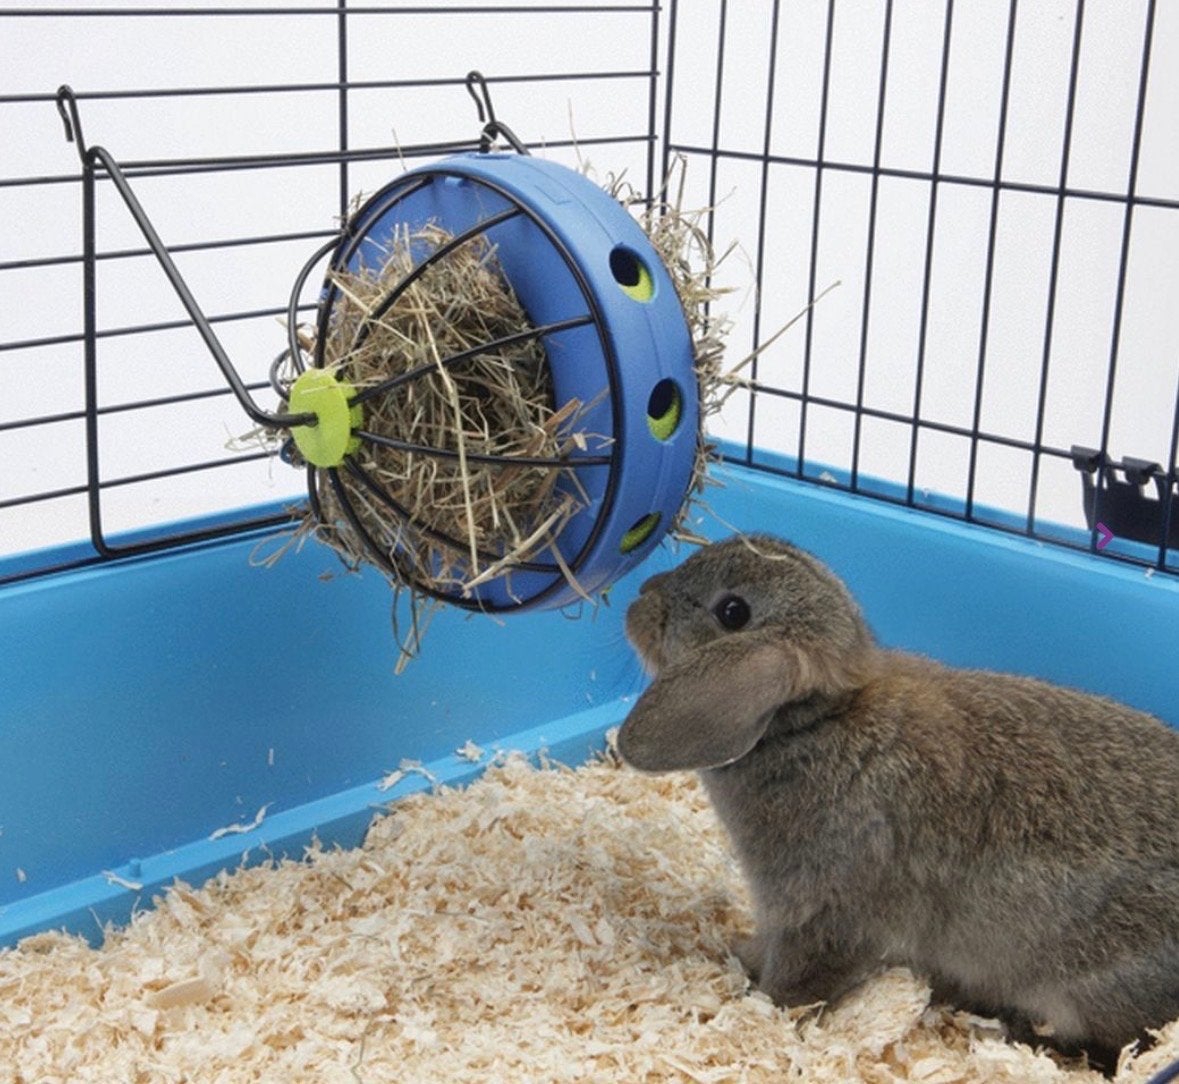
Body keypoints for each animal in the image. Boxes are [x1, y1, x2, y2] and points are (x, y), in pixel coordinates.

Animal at [617, 533, 1179, 1071]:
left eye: (732, 612)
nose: (641, 597)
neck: (814, 722)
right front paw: (739, 954)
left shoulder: (827, 915)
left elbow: (801, 979)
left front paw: (765, 1006)